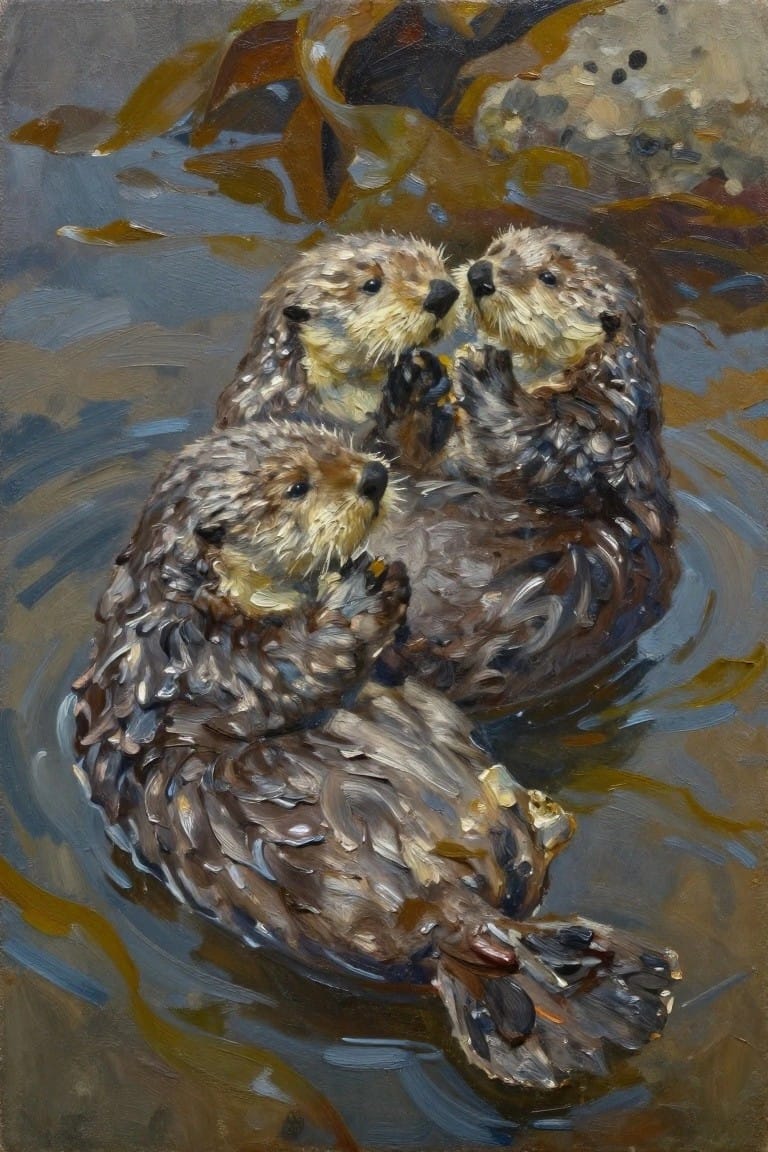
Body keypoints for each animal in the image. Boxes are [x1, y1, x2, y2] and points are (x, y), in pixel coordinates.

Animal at [73, 420, 679, 1090]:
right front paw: (365, 588)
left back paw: (546, 822)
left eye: (334, 441)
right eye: (296, 486)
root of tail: (479, 934)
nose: (374, 476)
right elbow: (290, 666)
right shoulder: (198, 650)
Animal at [370, 228, 678, 711]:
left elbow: (543, 453)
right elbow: (412, 458)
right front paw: (414, 378)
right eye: (498, 249)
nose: (481, 275)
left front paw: (486, 370)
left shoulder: (605, 430)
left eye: (548, 276)